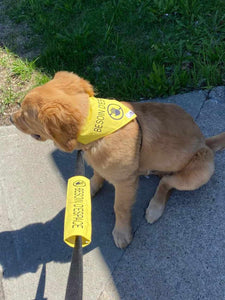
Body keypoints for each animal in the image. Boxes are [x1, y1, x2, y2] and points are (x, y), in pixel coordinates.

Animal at [10, 71, 225, 248]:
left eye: (26, 115)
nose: (11, 119)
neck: (95, 131)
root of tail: (204, 142)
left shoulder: (125, 182)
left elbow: (120, 207)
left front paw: (121, 233)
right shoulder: (101, 166)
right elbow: (97, 175)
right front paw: (90, 189)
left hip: (201, 172)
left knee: (166, 182)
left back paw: (155, 208)